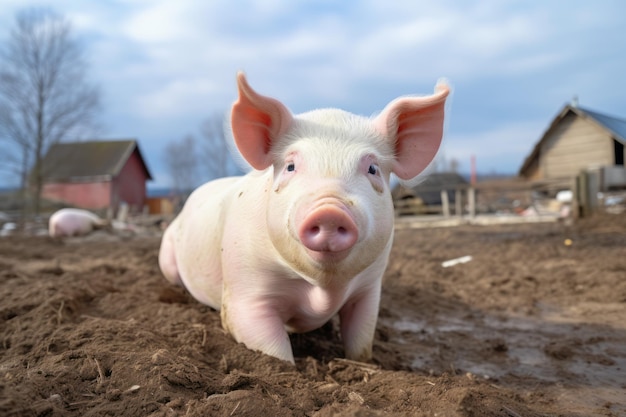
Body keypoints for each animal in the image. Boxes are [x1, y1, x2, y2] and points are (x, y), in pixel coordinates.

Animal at [158, 73, 446, 362]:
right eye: (290, 166)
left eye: (373, 168)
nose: (330, 209)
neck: (325, 287)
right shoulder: (244, 290)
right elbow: (274, 350)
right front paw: (286, 366)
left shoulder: (370, 287)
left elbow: (361, 339)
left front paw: (362, 362)